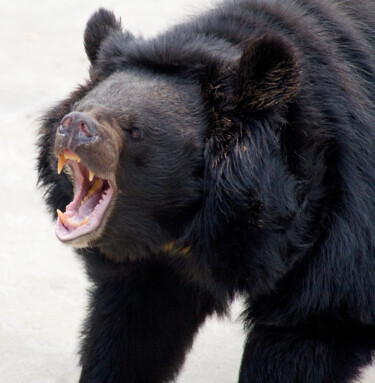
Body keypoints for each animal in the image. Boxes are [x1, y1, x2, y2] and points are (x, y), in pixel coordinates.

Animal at [37, 0, 375, 383]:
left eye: (134, 129)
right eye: (81, 106)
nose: (74, 126)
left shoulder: (339, 231)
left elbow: (308, 325)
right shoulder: (150, 270)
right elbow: (130, 336)